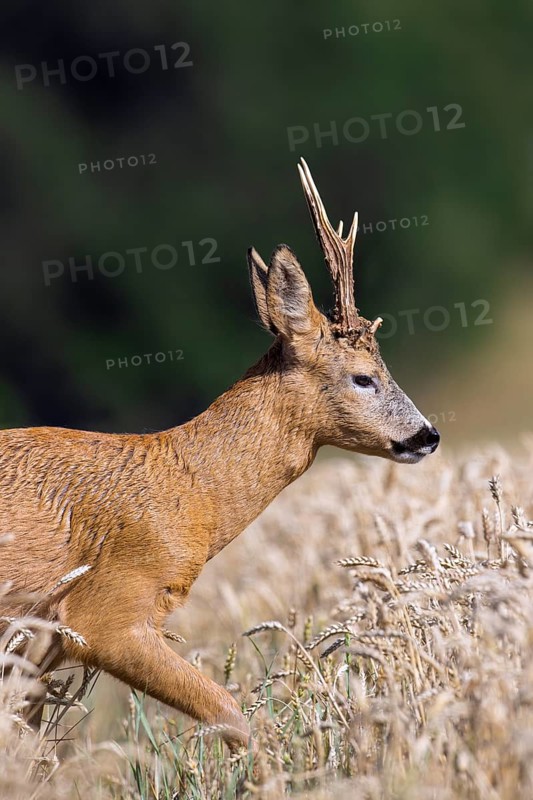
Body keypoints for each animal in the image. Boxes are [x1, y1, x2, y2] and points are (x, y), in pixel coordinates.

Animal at [0, 158, 439, 752]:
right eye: (364, 377)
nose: (427, 435)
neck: (190, 487)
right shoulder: (101, 612)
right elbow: (232, 713)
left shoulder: (42, 638)